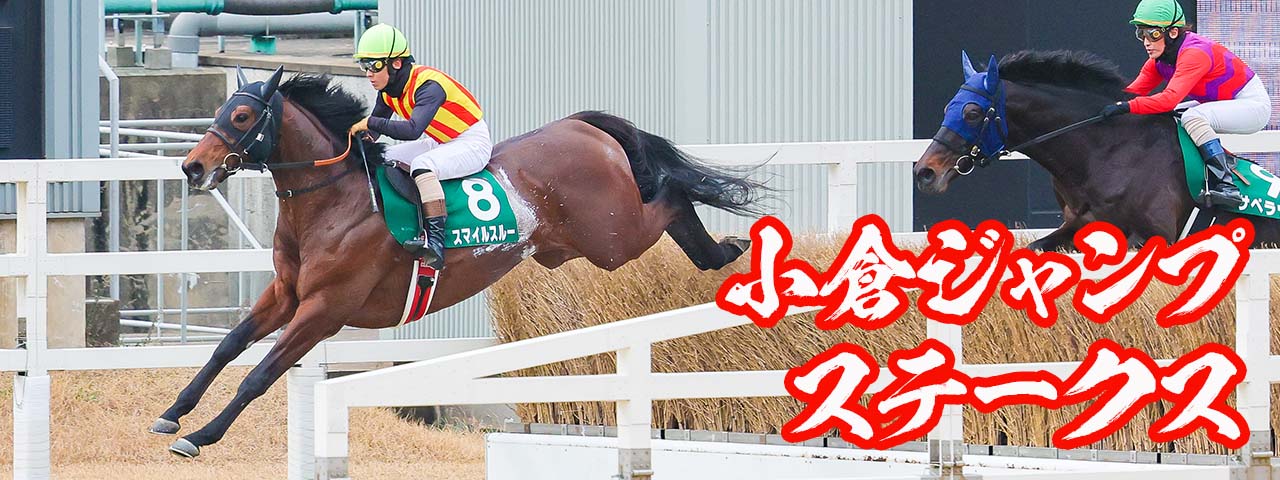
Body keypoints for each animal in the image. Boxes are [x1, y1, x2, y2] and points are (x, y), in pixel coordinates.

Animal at [151, 67, 764, 457]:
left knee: (670, 194)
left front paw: (199, 437)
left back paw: (727, 250)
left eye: (242, 115)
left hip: (614, 238)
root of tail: (582, 126)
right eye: (220, 110)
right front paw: (173, 413)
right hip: (586, 241)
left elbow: (260, 374)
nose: (191, 167)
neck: (334, 201)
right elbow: (227, 347)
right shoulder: (286, 293)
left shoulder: (326, 309)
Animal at [912, 50, 1280, 250]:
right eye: (948, 107)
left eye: (972, 113)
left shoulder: (1153, 235)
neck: (1104, 154)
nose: (924, 172)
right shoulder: (1078, 225)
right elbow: (1035, 247)